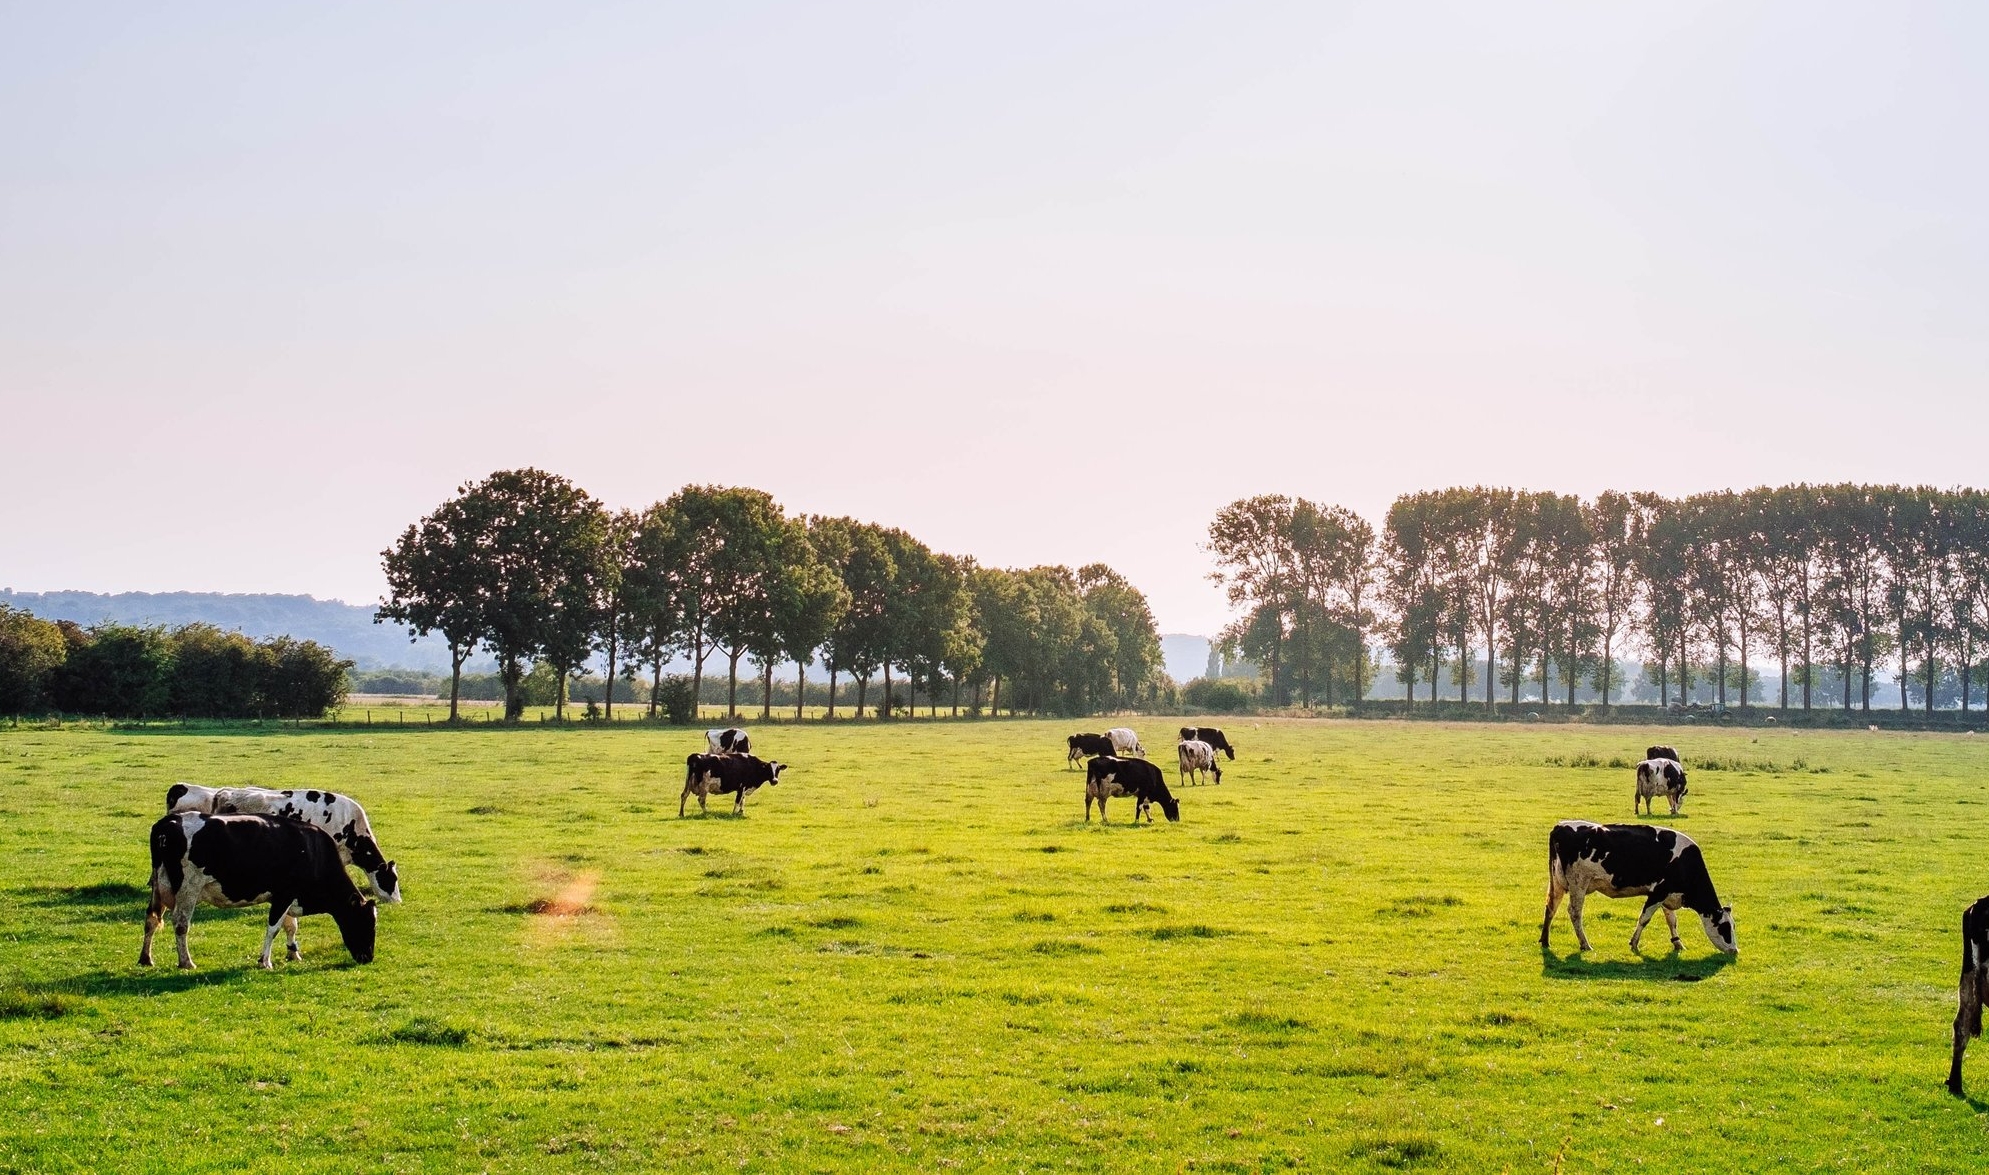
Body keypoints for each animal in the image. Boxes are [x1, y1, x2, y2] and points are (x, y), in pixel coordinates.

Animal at [142, 815, 373, 970]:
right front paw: (265, 961)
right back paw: (186, 962)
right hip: (188, 888)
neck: (313, 851)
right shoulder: (284, 894)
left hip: (158, 886)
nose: (368, 957)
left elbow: (290, 925)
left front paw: (293, 954)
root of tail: (168, 822)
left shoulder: (284, 898)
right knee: (181, 924)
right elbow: (274, 928)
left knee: (151, 919)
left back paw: (146, 958)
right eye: (366, 923)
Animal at [1543, 819, 1734, 954]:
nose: (1735, 950)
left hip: (1557, 882)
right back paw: (1585, 944)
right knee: (1574, 912)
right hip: (1578, 884)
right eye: (1725, 928)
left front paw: (1678, 944)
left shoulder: (1668, 894)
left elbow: (1672, 921)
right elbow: (1644, 918)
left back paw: (1545, 941)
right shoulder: (1657, 892)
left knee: (1551, 906)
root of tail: (1560, 826)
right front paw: (1634, 944)